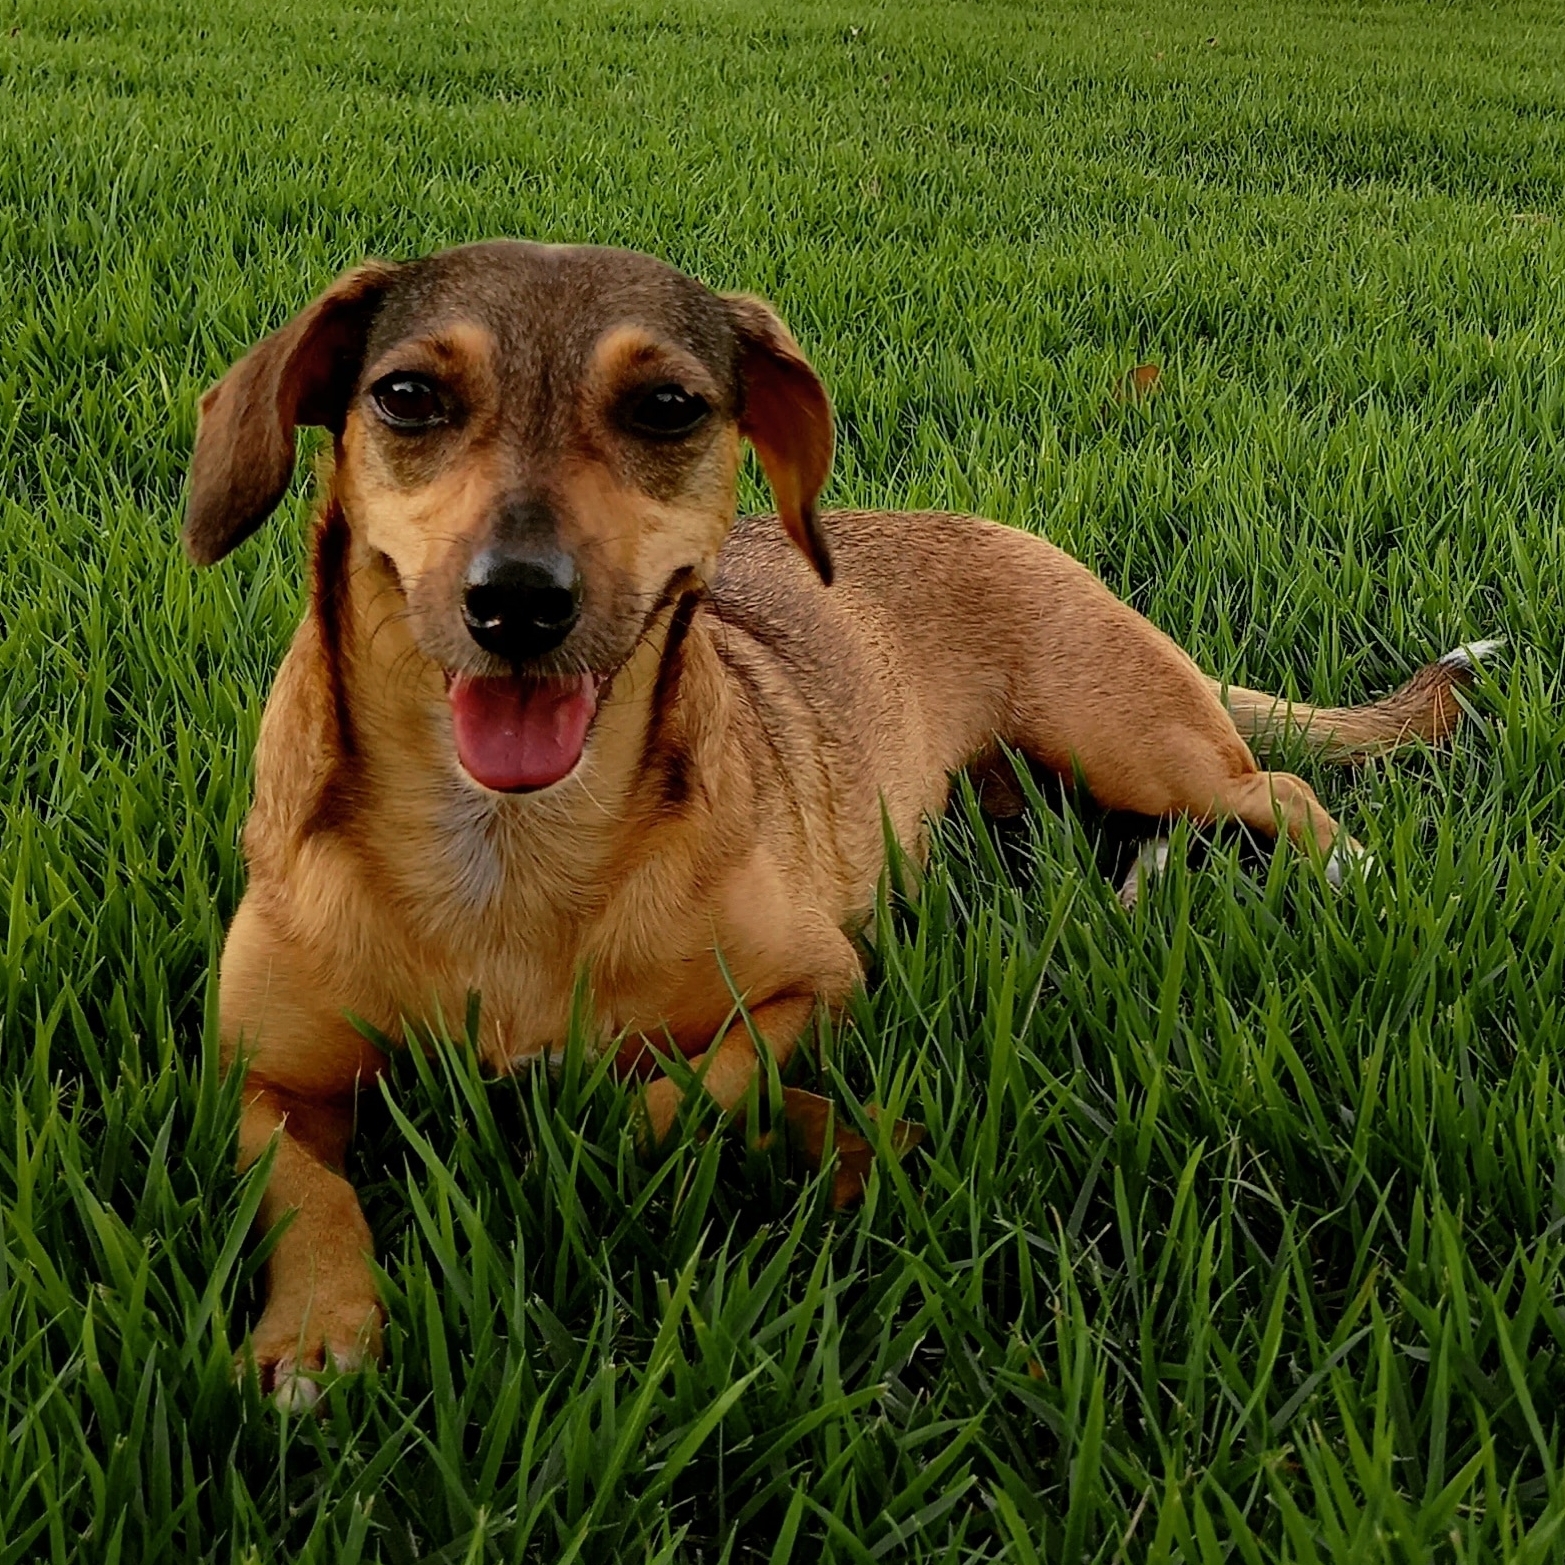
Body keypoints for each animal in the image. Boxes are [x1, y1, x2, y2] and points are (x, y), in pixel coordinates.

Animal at [186, 241, 1489, 1408]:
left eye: (667, 407)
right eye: (407, 395)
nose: (516, 601)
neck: (506, 840)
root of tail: (1012, 531)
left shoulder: (813, 980)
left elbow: (677, 1093)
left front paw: (600, 1127)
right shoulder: (257, 1079)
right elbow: (306, 1187)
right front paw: (315, 1330)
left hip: (1129, 737)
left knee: (1277, 790)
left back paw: (1346, 867)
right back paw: (1134, 892)